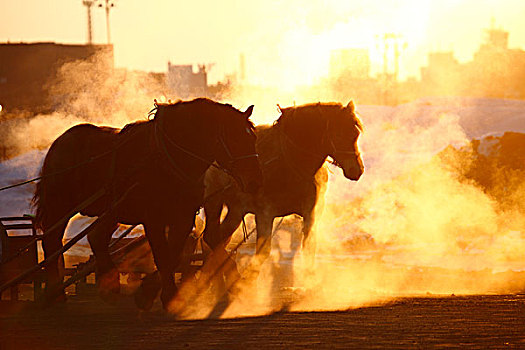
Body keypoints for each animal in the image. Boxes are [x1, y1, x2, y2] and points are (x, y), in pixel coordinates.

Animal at [32, 97, 262, 308]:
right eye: (235, 137)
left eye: (252, 137)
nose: (254, 180)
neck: (167, 158)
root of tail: (59, 143)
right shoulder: (153, 219)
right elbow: (162, 255)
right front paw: (163, 294)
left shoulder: (183, 217)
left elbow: (173, 255)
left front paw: (152, 292)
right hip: (59, 207)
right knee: (52, 242)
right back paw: (56, 293)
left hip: (111, 211)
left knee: (96, 237)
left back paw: (109, 286)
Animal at [203, 100, 362, 284]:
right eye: (338, 134)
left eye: (355, 134)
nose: (357, 170)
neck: (290, 161)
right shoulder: (264, 213)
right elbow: (263, 252)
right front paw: (248, 281)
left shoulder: (311, 214)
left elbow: (309, 247)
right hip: (213, 201)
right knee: (211, 237)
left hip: (236, 209)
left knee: (220, 238)